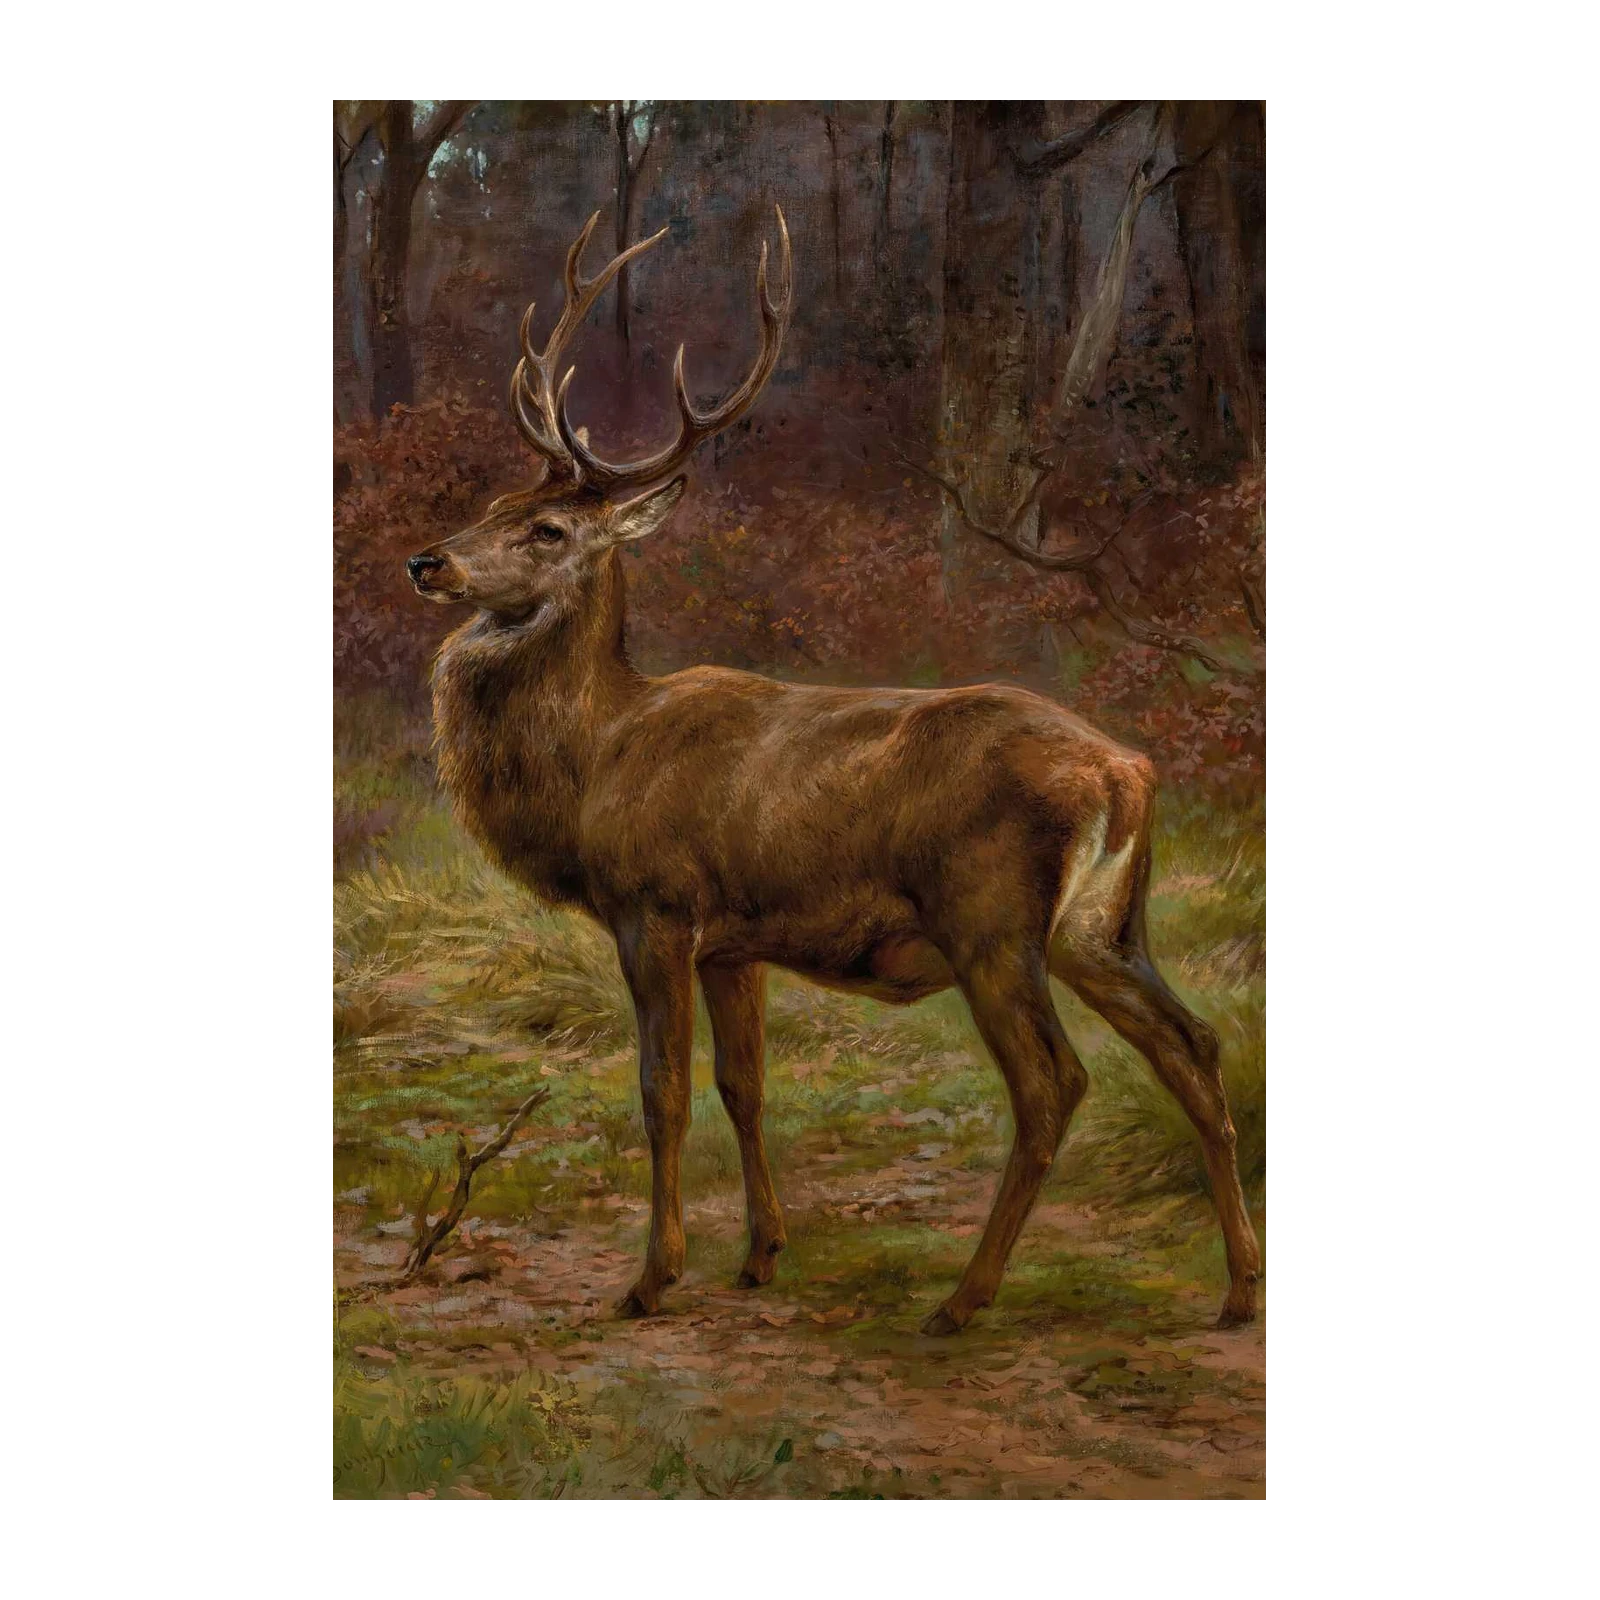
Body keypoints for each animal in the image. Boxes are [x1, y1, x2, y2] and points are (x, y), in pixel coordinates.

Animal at [406, 205, 1261, 1333]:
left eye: (545, 528)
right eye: (493, 501)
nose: (429, 561)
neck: (597, 761)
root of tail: (1125, 772)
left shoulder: (656, 906)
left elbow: (662, 1091)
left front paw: (651, 1277)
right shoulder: (732, 941)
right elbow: (744, 1086)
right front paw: (761, 1254)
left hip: (990, 917)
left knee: (1053, 1085)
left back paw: (962, 1300)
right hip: (1104, 926)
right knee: (1193, 1047)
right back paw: (1239, 1290)